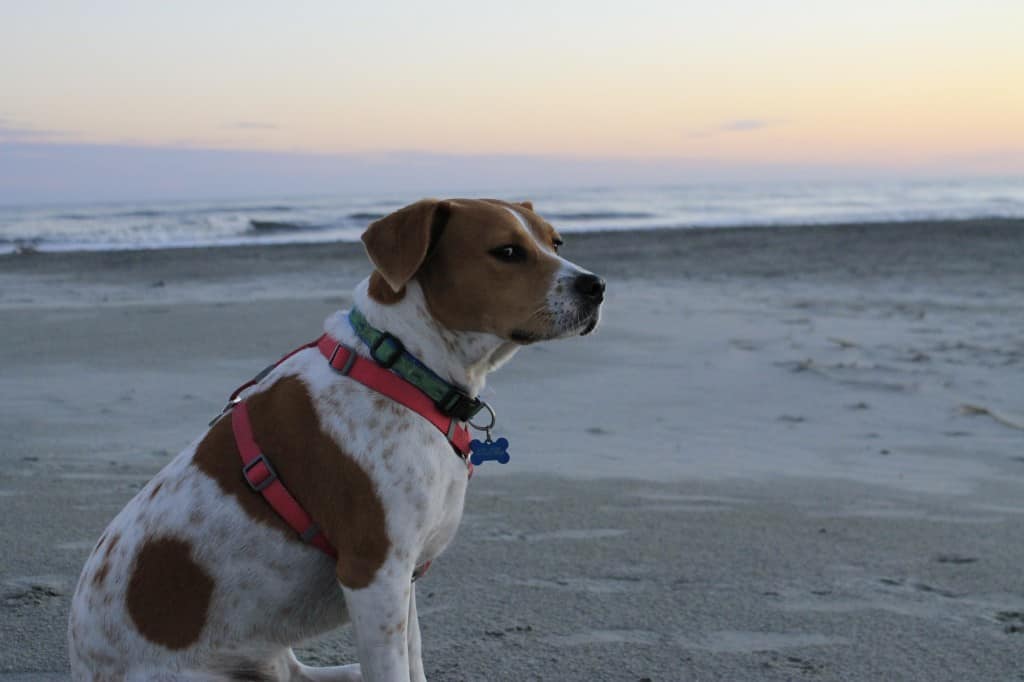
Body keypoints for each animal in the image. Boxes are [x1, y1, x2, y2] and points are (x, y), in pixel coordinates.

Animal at [68, 197, 606, 679]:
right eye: (507, 251)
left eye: (556, 242)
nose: (597, 285)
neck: (401, 366)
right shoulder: (375, 575)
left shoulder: (402, 581)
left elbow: (414, 663)